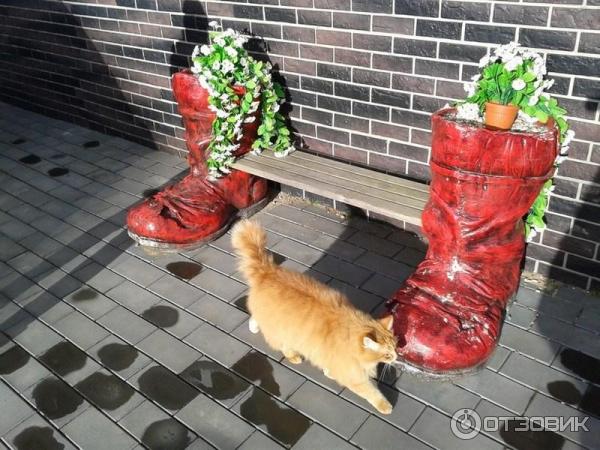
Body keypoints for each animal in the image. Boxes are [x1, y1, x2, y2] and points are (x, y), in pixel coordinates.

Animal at [232, 220, 396, 414]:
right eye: (387, 355)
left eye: (396, 347)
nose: (396, 358)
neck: (350, 329)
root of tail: (268, 271)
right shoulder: (353, 374)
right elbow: (371, 392)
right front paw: (385, 406)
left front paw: (328, 372)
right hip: (283, 332)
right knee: (283, 346)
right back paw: (293, 356)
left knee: (255, 317)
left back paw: (254, 327)